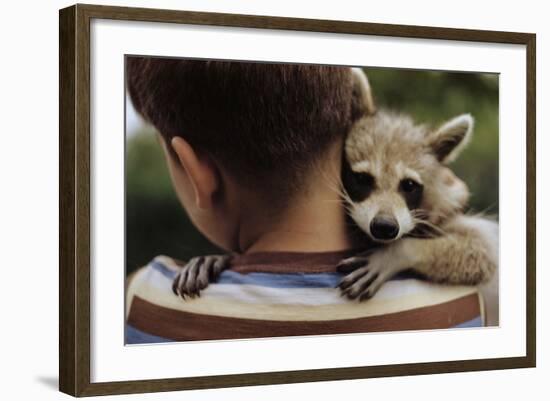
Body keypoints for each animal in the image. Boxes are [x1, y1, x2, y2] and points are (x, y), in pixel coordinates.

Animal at [340, 69, 500, 300]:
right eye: (362, 179)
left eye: (408, 185)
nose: (384, 227)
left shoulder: (449, 209)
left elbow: (482, 251)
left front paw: (395, 253)